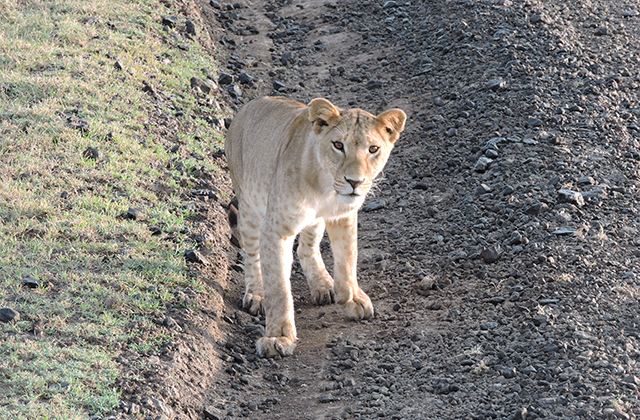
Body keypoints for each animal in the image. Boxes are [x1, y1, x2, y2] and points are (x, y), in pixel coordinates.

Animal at [225, 96, 406, 357]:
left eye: (373, 149)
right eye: (338, 145)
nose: (354, 182)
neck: (326, 188)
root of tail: (247, 106)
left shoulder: (344, 215)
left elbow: (347, 258)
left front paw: (351, 299)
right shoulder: (276, 228)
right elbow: (278, 287)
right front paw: (278, 337)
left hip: (314, 221)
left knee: (306, 248)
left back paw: (323, 285)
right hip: (249, 206)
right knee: (252, 253)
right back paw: (256, 294)